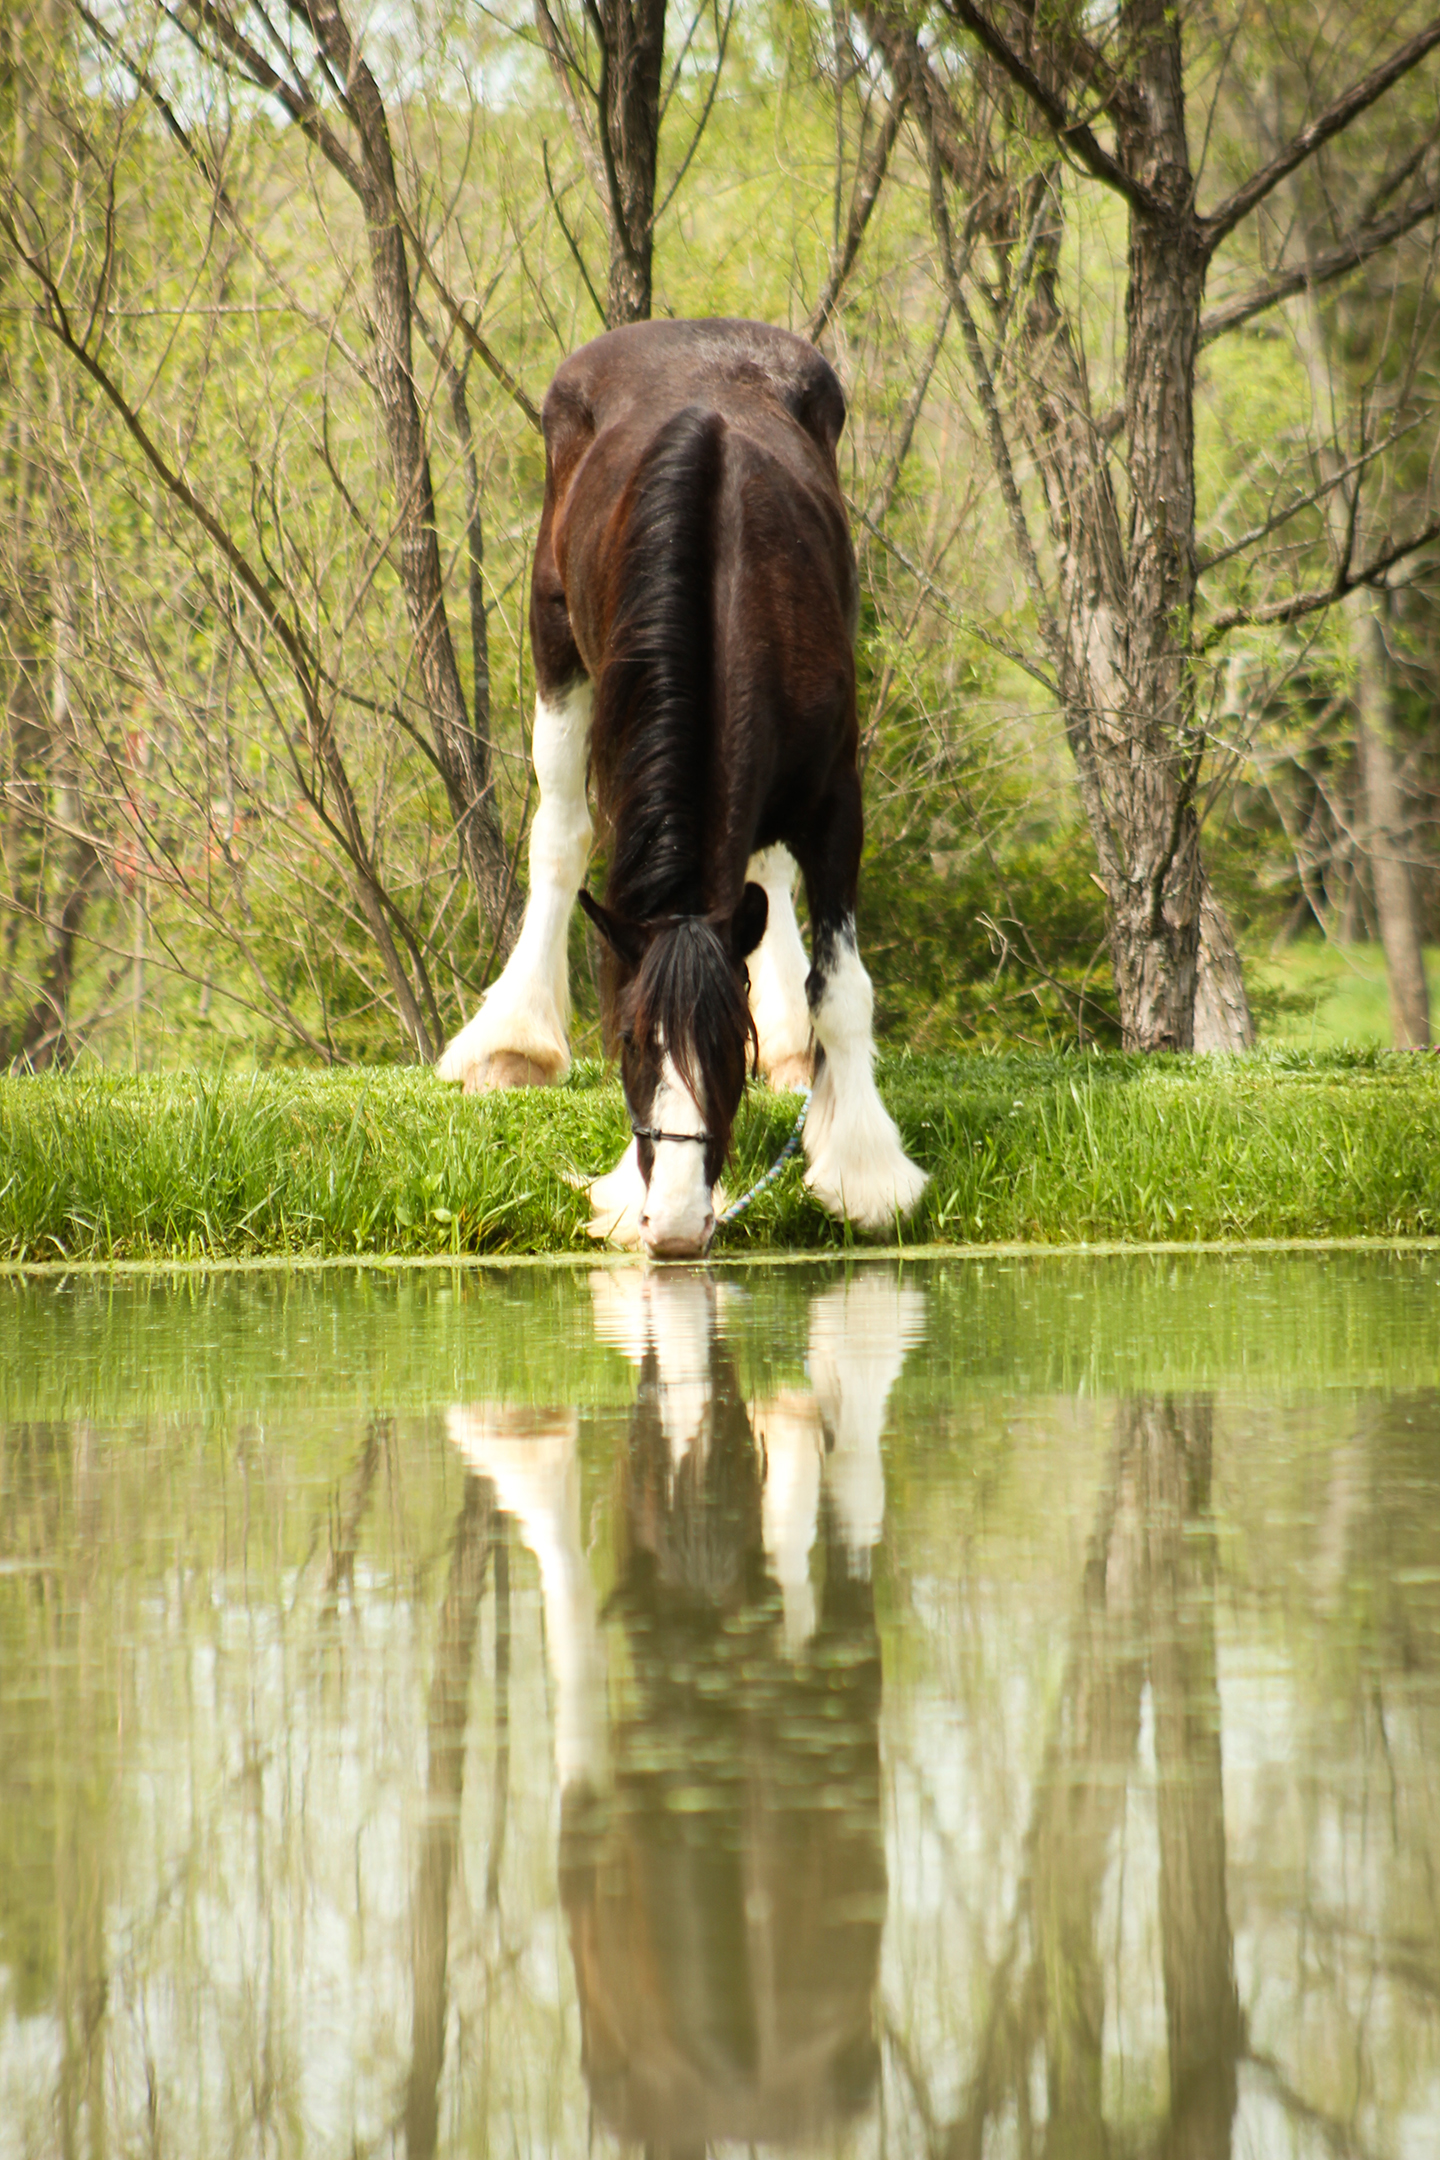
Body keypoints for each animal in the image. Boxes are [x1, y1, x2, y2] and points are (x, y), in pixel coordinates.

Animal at [437, 318, 926, 1259]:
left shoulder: (836, 803)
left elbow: (842, 988)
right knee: (558, 837)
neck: (728, 584)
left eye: (730, 1045)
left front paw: (861, 1166)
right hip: (554, 647)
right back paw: (513, 1043)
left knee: (764, 876)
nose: (672, 1223)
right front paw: (625, 1189)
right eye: (631, 1044)